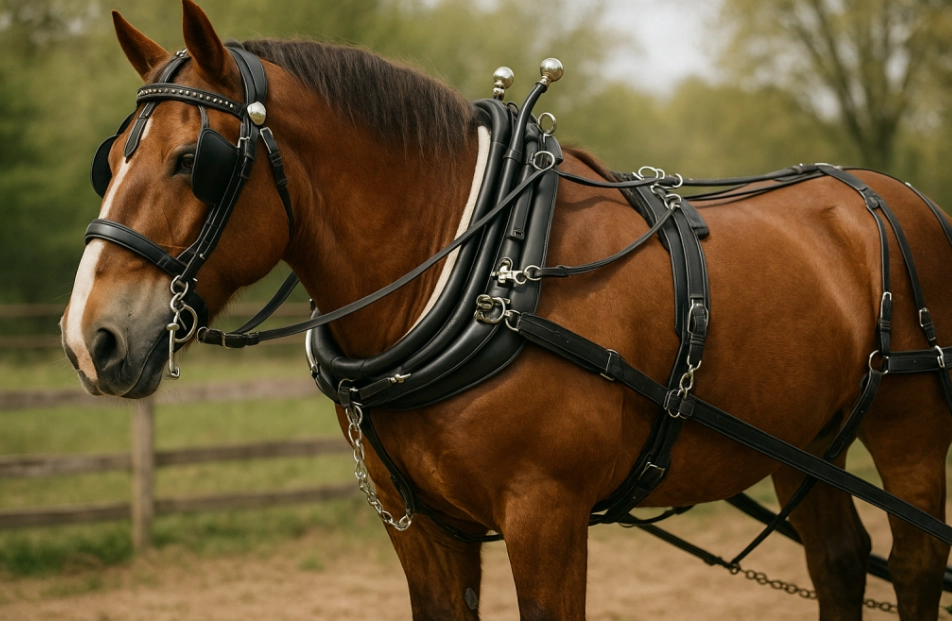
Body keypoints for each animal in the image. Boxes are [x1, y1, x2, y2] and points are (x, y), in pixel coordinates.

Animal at [60, 1, 952, 619]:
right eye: (111, 159)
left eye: (192, 160)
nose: (88, 337)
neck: (480, 268)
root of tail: (892, 196)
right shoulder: (423, 531)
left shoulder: (547, 517)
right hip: (807, 441)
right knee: (838, 561)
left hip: (909, 428)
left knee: (913, 565)